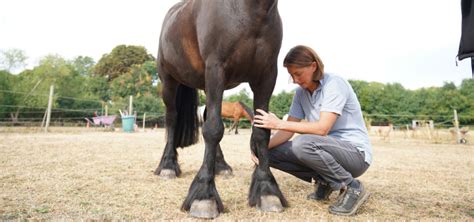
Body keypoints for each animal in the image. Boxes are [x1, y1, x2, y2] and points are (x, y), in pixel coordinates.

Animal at [156, 0, 286, 219]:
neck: (250, 13)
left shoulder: (267, 76)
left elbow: (261, 133)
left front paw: (267, 190)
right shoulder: (215, 69)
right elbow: (213, 129)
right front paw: (204, 195)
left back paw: (221, 165)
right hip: (169, 81)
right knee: (172, 118)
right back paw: (167, 166)